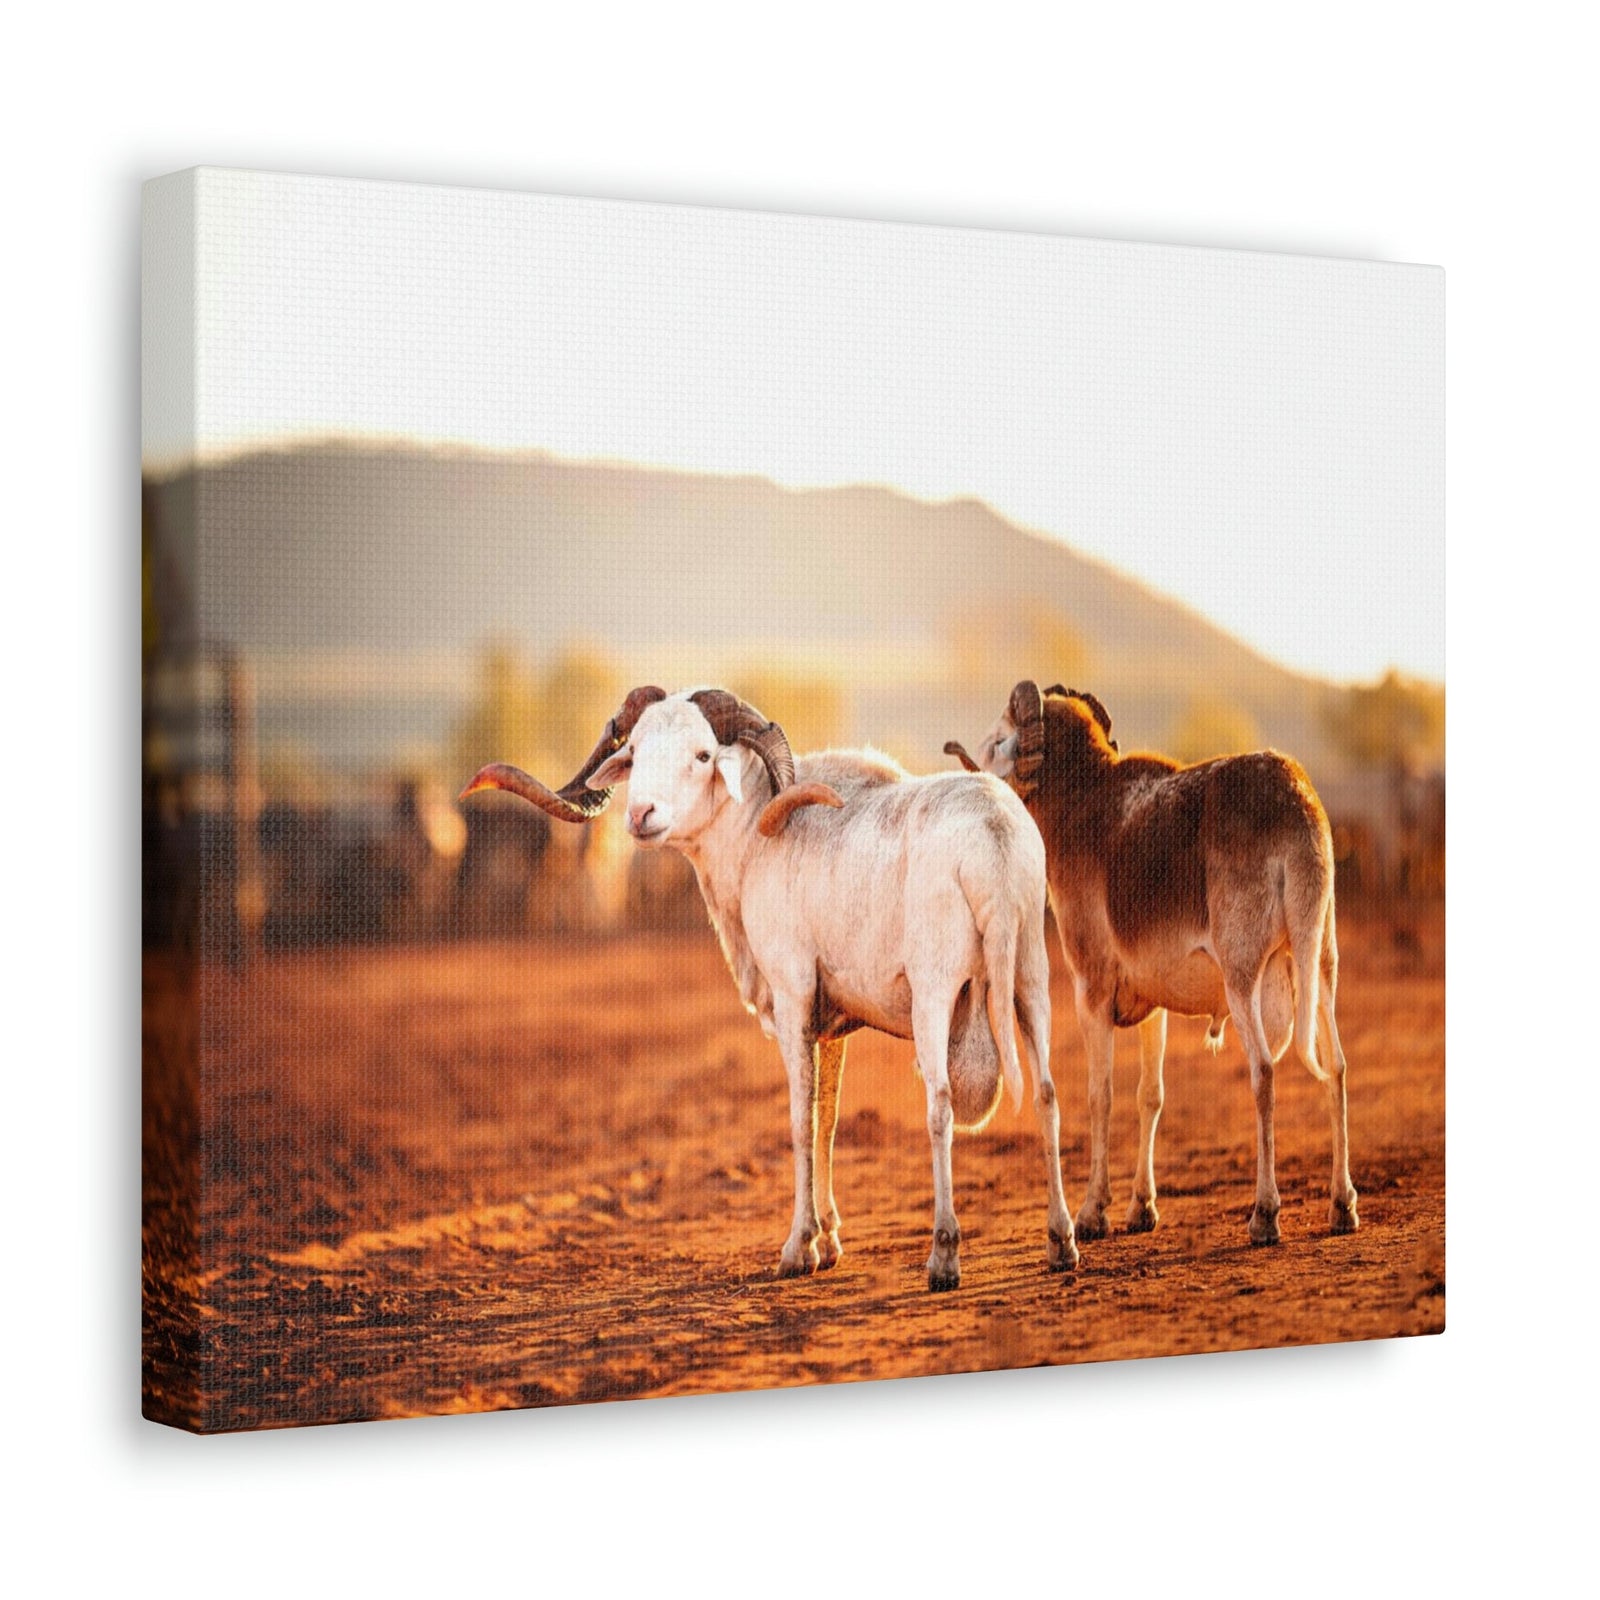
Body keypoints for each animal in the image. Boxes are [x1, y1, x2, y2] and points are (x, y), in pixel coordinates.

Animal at [463, 686, 1076, 1291]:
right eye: (634, 750)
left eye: (703, 754)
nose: (641, 816)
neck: (753, 845)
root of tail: (994, 842)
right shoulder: (833, 1027)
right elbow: (828, 1122)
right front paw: (830, 1242)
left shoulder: (793, 997)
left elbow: (801, 1121)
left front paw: (797, 1250)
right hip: (1031, 978)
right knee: (1047, 1092)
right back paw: (1061, 1243)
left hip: (936, 992)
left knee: (942, 1105)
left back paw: (944, 1258)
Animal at [947, 682, 1357, 1247]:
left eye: (997, 740)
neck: (1083, 806)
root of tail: (1296, 808)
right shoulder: (1153, 1010)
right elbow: (1150, 1096)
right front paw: (1141, 1209)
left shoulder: (1091, 994)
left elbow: (1101, 1096)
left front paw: (1092, 1215)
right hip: (1320, 967)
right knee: (1335, 1067)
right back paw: (1342, 1208)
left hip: (1244, 982)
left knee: (1264, 1073)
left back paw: (1264, 1215)